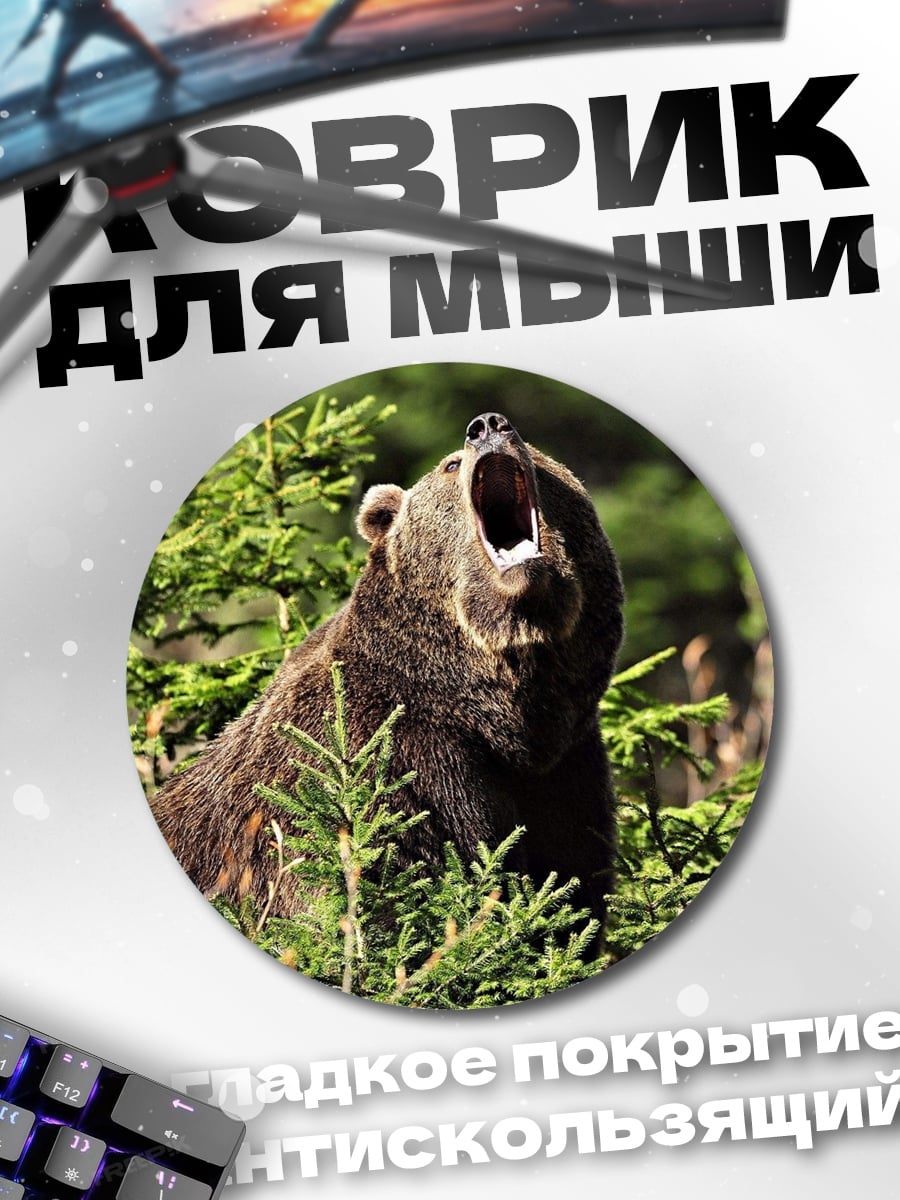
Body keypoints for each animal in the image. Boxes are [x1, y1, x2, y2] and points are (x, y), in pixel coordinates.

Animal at [150, 411, 625, 926]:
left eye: (538, 456)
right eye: (450, 465)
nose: (488, 425)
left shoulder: (564, 772)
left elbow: (571, 888)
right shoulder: (382, 763)